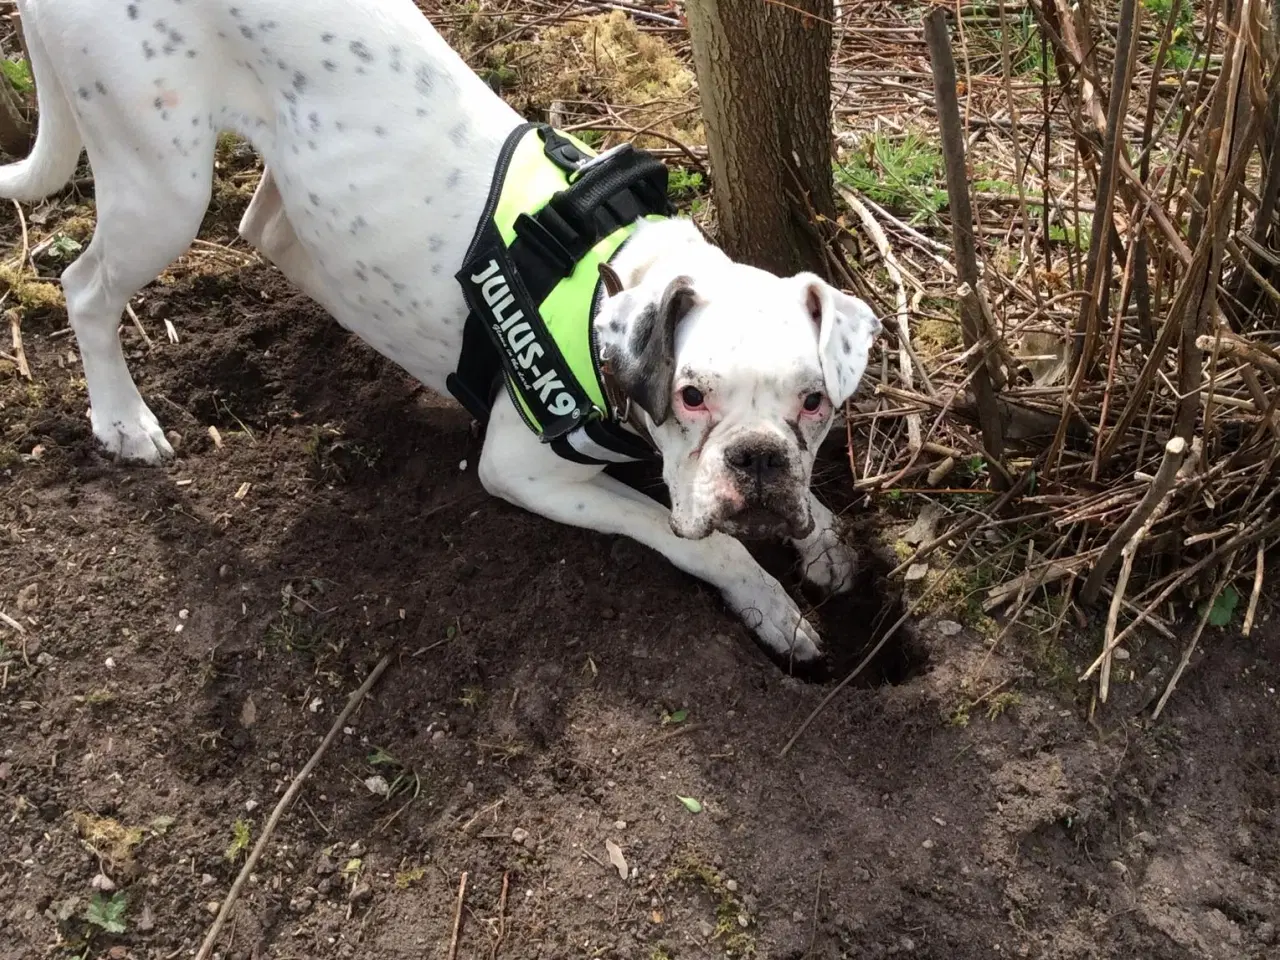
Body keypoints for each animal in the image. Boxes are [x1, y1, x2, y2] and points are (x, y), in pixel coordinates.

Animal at [0, 0, 880, 665]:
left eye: (814, 405)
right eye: (692, 397)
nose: (758, 461)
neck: (622, 272)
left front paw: (823, 536)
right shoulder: (525, 474)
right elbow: (697, 540)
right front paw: (768, 604)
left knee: (268, 226)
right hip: (163, 185)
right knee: (85, 288)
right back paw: (122, 419)